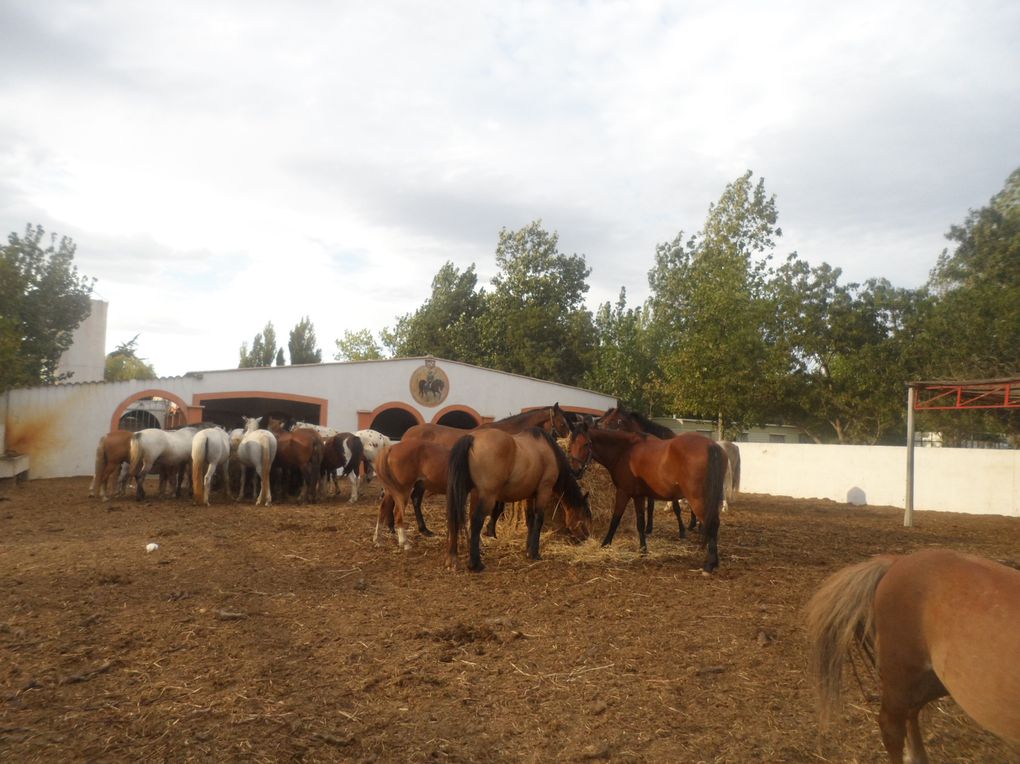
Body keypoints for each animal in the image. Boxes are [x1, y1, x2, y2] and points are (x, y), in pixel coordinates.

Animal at [444, 426, 591, 571]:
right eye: (584, 515)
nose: (586, 537)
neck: (549, 452)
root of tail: (472, 439)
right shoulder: (544, 491)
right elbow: (539, 520)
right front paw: (535, 553)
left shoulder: (529, 495)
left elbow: (530, 520)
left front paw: (528, 550)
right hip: (487, 496)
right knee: (476, 521)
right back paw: (475, 564)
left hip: (471, 493)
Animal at [567, 422, 726, 571]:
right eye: (570, 444)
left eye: (586, 444)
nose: (575, 471)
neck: (625, 450)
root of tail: (711, 446)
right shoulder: (639, 496)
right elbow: (640, 523)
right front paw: (643, 550)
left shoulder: (623, 493)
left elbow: (615, 519)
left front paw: (605, 544)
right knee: (715, 523)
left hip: (698, 499)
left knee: (711, 523)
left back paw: (709, 564)